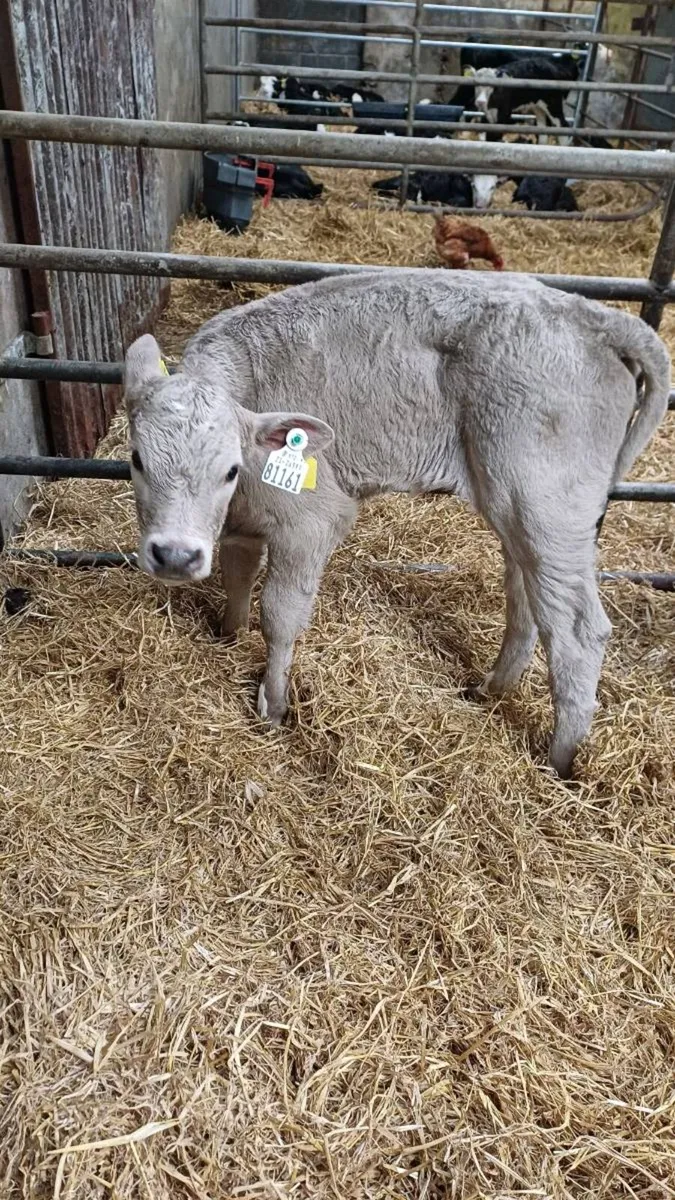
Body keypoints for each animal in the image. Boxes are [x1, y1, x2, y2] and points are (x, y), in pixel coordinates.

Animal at [123, 270, 669, 778]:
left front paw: (273, 706)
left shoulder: (313, 520)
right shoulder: (243, 524)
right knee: (530, 597)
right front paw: (226, 636)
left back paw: (559, 761)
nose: (175, 555)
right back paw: (490, 691)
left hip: (544, 503)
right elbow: (236, 578)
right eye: (136, 460)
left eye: (230, 469)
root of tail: (591, 314)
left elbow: (279, 614)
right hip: (516, 504)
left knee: (578, 629)